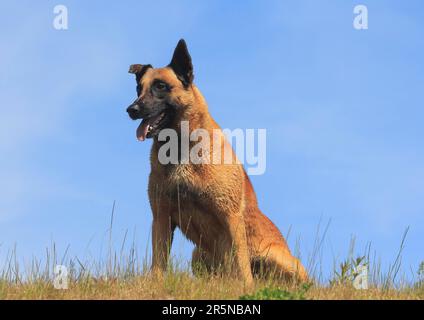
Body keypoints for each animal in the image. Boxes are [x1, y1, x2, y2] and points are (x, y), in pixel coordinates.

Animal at [126, 40, 308, 284]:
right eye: (139, 89)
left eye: (161, 86)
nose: (131, 110)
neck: (181, 149)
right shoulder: (161, 216)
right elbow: (158, 261)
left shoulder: (230, 217)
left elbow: (241, 261)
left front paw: (247, 287)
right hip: (198, 254)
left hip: (275, 257)